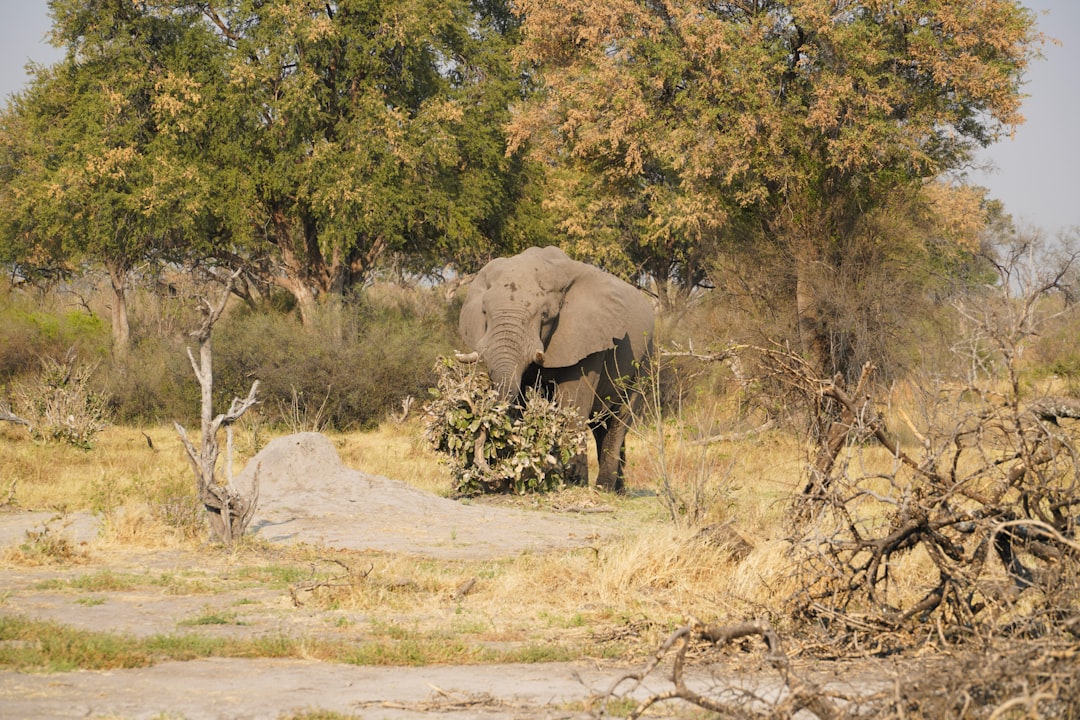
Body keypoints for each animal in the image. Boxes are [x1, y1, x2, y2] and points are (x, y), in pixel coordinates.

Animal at [457, 245, 652, 492]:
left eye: (545, 315)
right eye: (484, 312)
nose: (487, 467)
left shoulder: (588, 339)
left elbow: (572, 402)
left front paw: (572, 483)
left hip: (644, 360)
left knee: (620, 419)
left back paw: (604, 489)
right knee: (601, 424)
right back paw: (619, 491)